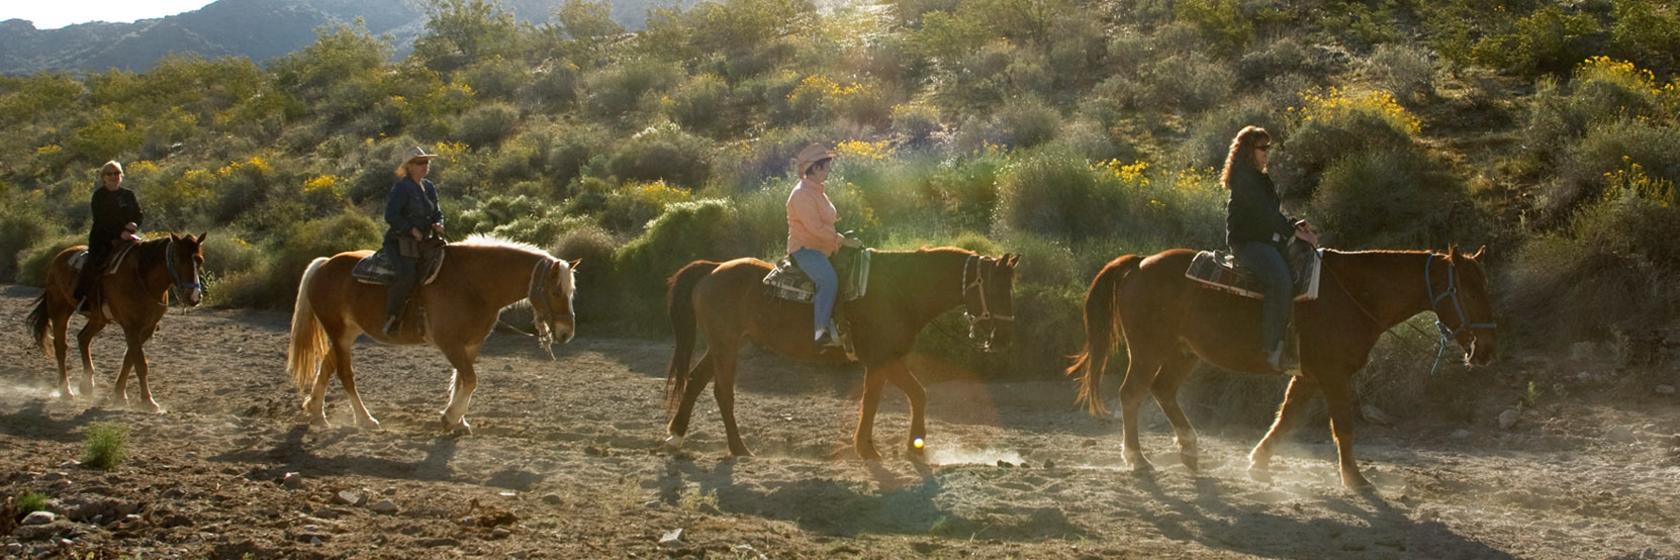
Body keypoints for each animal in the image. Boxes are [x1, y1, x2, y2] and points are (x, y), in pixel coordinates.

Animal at [25, 232, 207, 410]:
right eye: (178, 259)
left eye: (200, 260)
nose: (194, 297)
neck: (142, 277)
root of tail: (60, 256)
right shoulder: (131, 327)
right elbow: (140, 363)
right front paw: (148, 401)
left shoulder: (147, 328)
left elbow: (129, 359)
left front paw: (120, 394)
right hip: (60, 310)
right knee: (61, 348)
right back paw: (66, 390)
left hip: (98, 318)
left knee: (83, 338)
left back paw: (87, 385)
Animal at [285, 233, 581, 430]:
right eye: (556, 291)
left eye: (571, 291)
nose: (566, 333)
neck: (473, 284)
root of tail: (324, 264)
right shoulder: (449, 342)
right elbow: (470, 380)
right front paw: (450, 418)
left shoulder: (471, 344)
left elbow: (462, 380)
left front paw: (458, 421)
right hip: (337, 331)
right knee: (345, 374)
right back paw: (365, 419)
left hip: (347, 332)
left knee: (327, 365)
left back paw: (317, 412)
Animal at [661, 247, 1014, 457]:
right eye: (997, 288)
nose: (1004, 339)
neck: (900, 289)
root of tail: (713, 269)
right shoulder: (880, 358)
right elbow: (890, 398)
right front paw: (881, 447)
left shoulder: (884, 360)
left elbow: (897, 396)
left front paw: (899, 445)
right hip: (726, 346)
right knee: (722, 392)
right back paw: (738, 448)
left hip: (726, 344)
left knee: (695, 381)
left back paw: (677, 435)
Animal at [1061, 247, 1498, 487]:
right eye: (1469, 291)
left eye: (1484, 288)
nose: (1486, 350)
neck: (1352, 295)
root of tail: (1138, 264)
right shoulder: (1333, 376)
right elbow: (1343, 426)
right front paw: (1355, 480)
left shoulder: (1308, 377)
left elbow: (1286, 418)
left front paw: (1258, 462)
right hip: (1149, 348)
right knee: (1132, 394)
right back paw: (1137, 458)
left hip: (1184, 352)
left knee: (1163, 390)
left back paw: (1189, 449)